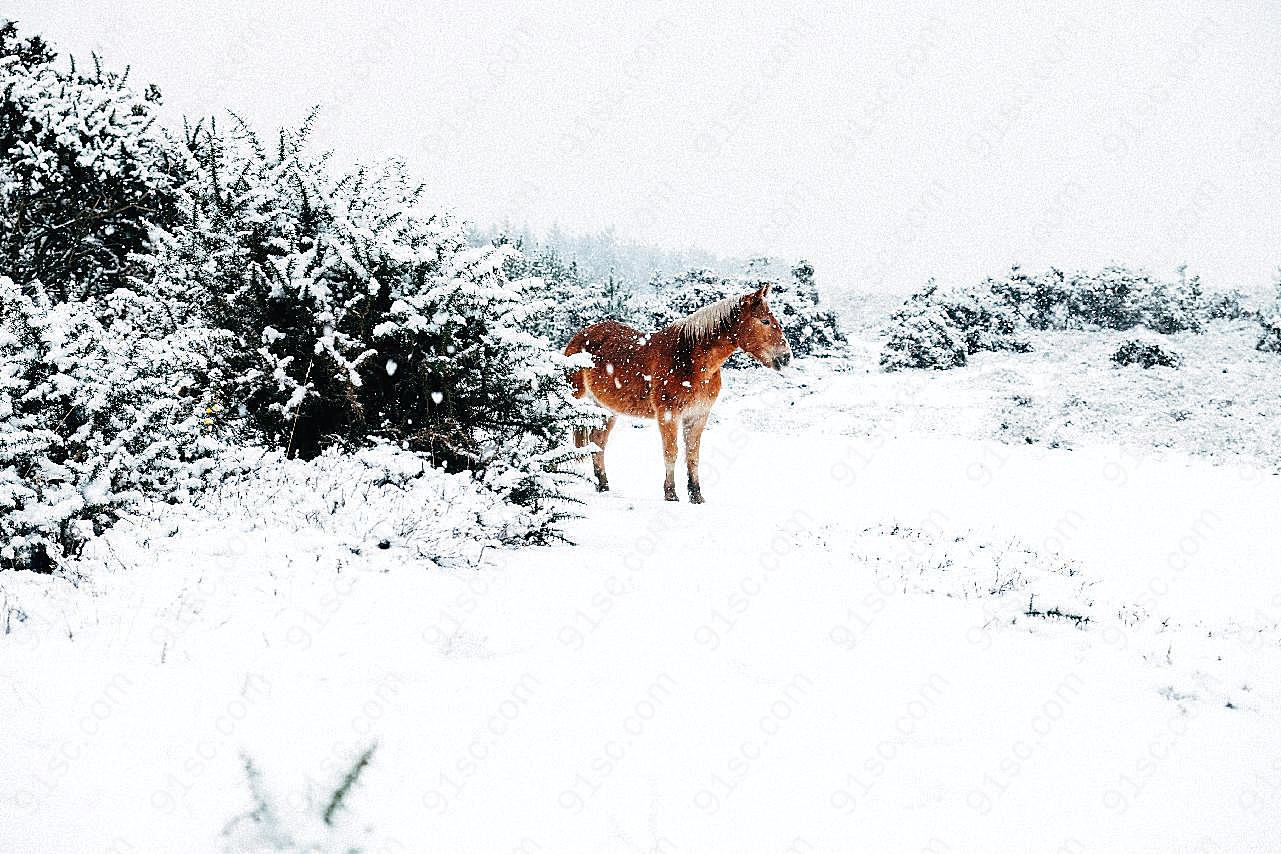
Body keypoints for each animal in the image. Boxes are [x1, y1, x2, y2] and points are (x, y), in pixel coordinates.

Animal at [563, 284, 783, 504]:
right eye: (765, 321)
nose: (785, 357)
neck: (690, 360)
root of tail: (578, 337)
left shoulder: (698, 416)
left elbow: (693, 455)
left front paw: (696, 495)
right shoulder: (669, 414)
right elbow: (671, 452)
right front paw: (670, 493)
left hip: (606, 409)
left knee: (598, 442)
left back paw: (603, 485)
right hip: (574, 401)